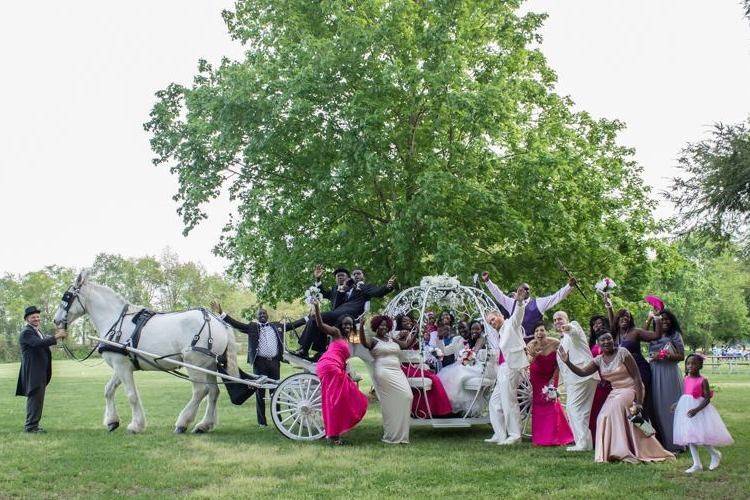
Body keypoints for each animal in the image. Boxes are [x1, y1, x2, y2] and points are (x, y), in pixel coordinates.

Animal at [53, 270, 239, 434]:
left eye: (66, 296)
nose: (56, 320)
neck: (116, 321)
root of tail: (217, 321)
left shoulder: (122, 366)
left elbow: (131, 395)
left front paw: (136, 425)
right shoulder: (120, 365)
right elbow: (108, 389)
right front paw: (112, 421)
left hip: (193, 363)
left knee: (201, 391)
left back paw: (183, 423)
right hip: (209, 366)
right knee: (214, 392)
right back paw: (204, 425)